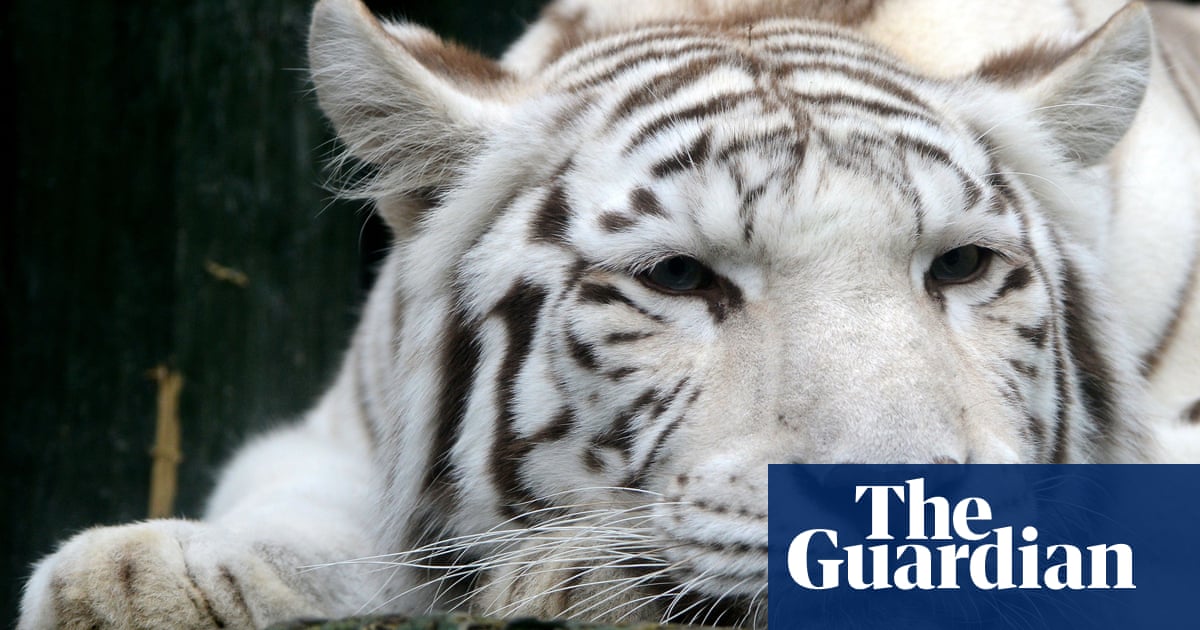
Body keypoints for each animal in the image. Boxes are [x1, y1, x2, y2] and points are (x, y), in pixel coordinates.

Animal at [18, 0, 1200, 628]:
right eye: (678, 278)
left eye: (958, 265)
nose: (899, 503)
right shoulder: (330, 437)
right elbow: (303, 517)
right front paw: (139, 579)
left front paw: (576, 578)